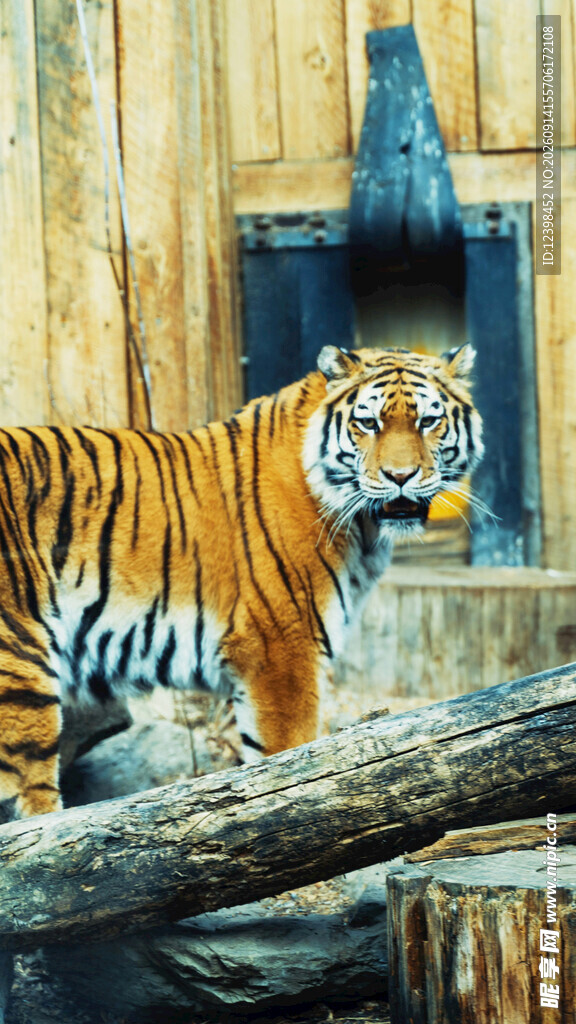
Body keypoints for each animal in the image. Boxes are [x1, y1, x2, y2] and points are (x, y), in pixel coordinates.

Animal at [0, 343, 483, 826]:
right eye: (368, 423)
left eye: (428, 421)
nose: (400, 477)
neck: (361, 527)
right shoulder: (282, 648)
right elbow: (289, 764)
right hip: (20, 668)